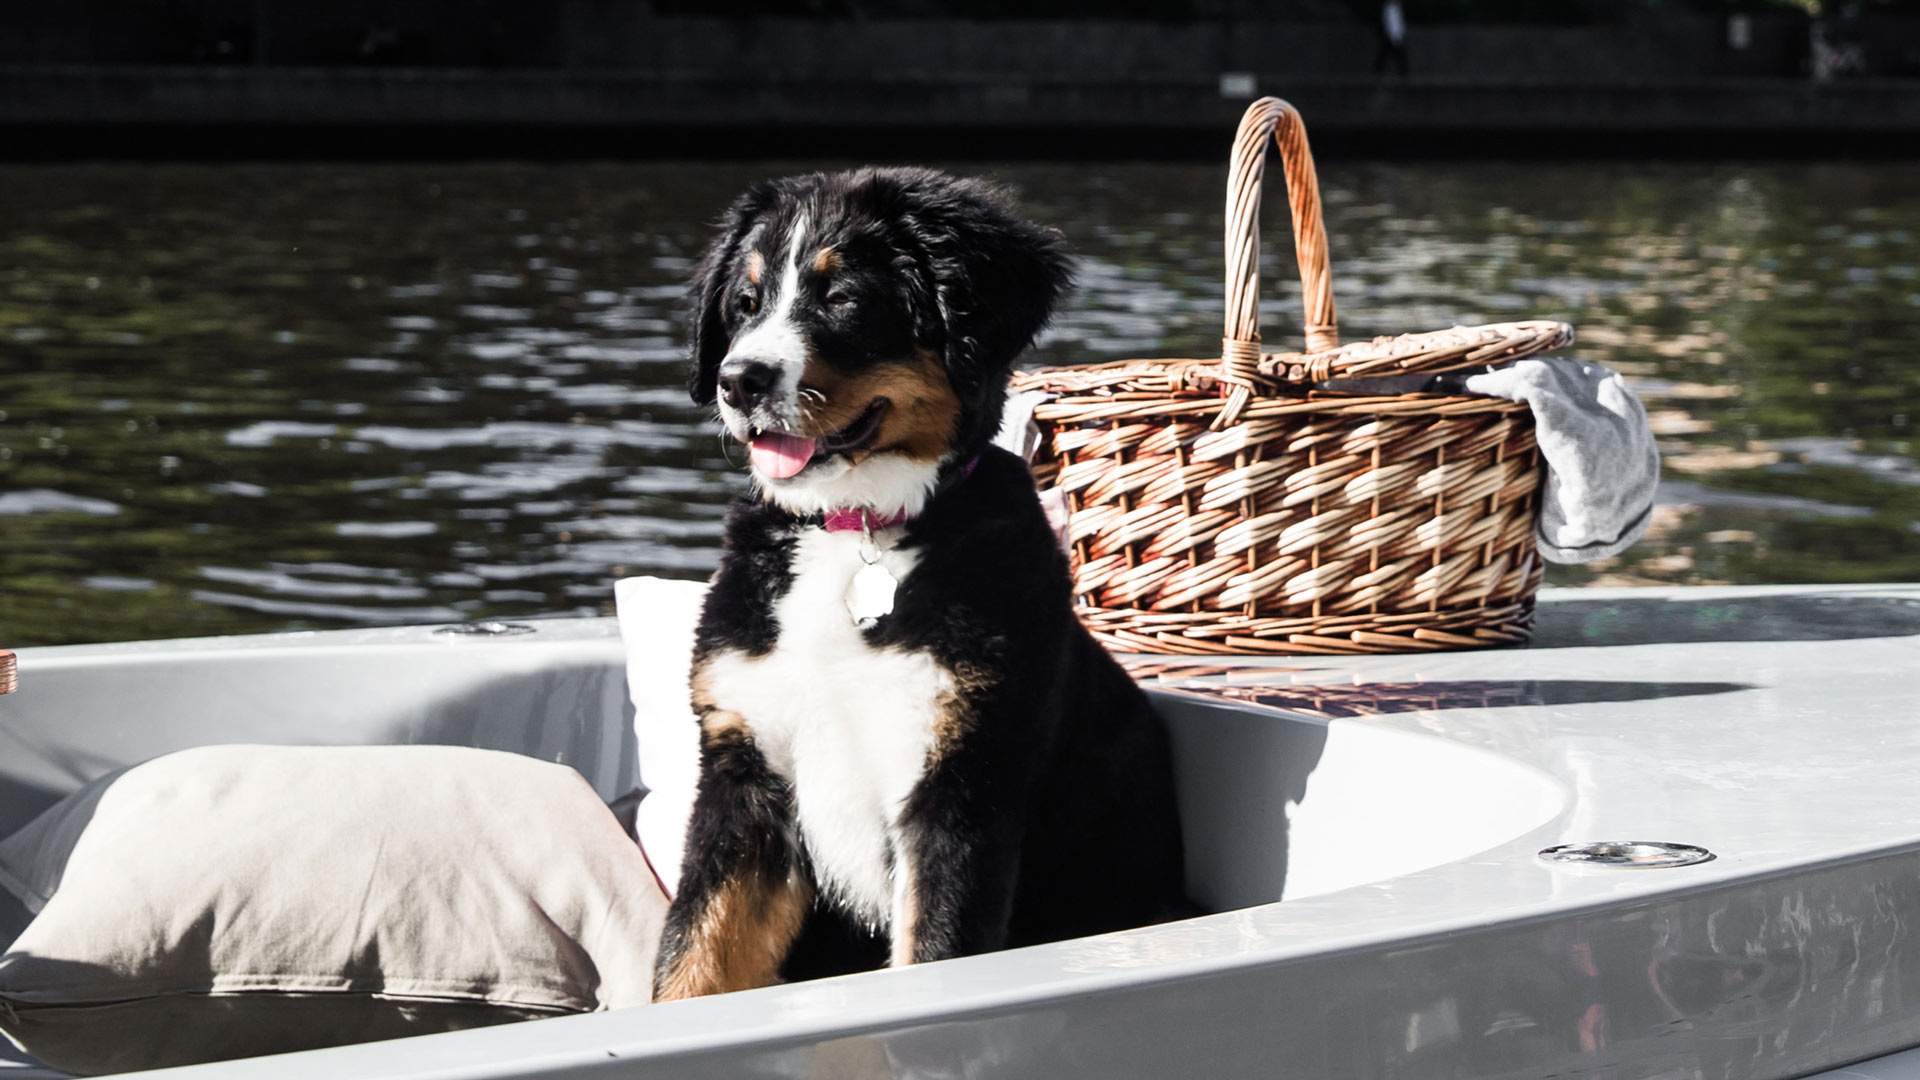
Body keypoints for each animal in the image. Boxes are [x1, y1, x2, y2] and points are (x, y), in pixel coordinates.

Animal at [656, 168, 1182, 999]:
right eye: (744, 303)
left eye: (843, 298)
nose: (740, 381)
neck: (855, 534)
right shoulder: (744, 776)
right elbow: (690, 957)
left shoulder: (960, 785)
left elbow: (932, 951)